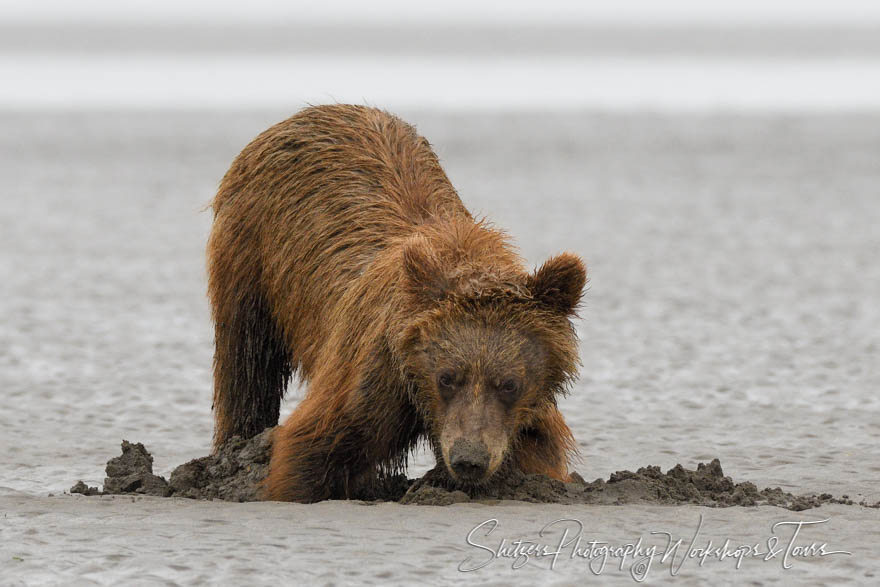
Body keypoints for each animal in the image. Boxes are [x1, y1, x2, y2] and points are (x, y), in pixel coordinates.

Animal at [207, 103, 588, 504]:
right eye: (447, 377)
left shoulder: (522, 421)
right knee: (246, 357)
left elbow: (535, 456)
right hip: (251, 252)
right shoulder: (376, 379)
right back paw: (238, 441)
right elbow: (312, 452)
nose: (469, 460)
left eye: (509, 384)